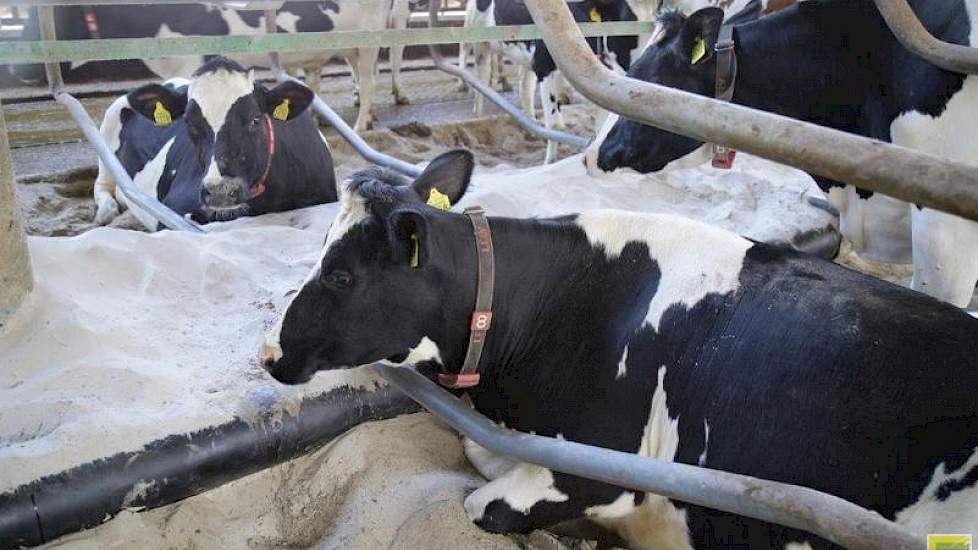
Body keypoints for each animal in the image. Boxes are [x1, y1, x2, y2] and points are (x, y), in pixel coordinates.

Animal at [6, 0, 408, 131]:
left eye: (33, 22)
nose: (13, 69)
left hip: (370, 37)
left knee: (370, 80)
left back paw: (361, 123)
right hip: (350, 48)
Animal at [93, 57, 336, 233]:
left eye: (255, 119)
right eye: (190, 124)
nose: (221, 191)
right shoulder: (171, 210)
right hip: (108, 122)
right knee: (102, 183)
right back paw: (107, 209)